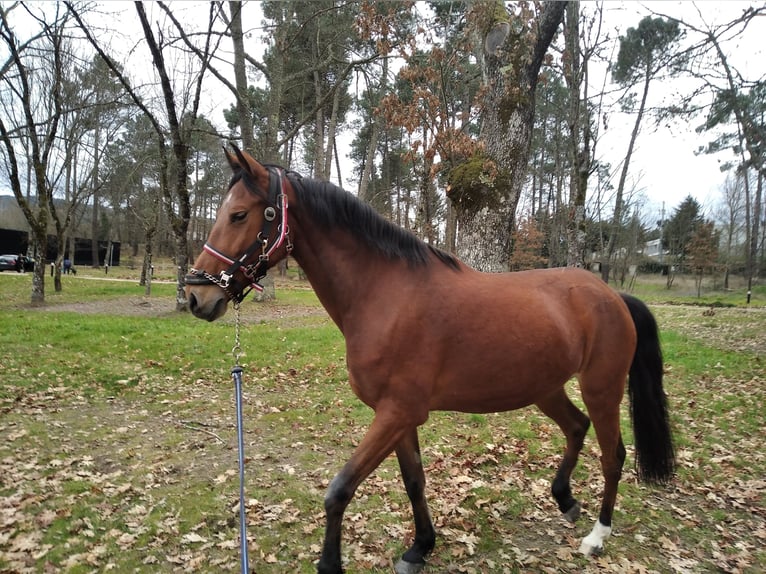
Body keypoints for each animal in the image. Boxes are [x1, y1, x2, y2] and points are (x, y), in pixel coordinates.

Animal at [186, 147, 675, 574]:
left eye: (239, 214)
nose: (196, 296)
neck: (385, 295)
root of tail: (612, 295)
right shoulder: (400, 417)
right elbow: (414, 481)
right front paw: (420, 547)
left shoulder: (396, 413)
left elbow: (339, 490)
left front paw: (330, 564)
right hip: (545, 387)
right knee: (576, 427)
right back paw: (565, 500)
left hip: (602, 388)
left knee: (613, 455)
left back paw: (597, 536)